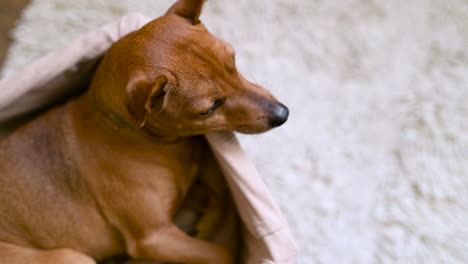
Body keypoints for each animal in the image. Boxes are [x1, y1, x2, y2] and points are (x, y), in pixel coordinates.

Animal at [0, 0, 288, 264]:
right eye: (209, 108)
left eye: (233, 61)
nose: (282, 114)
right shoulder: (154, 238)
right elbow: (222, 252)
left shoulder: (187, 196)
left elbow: (218, 200)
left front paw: (206, 223)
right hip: (72, 257)